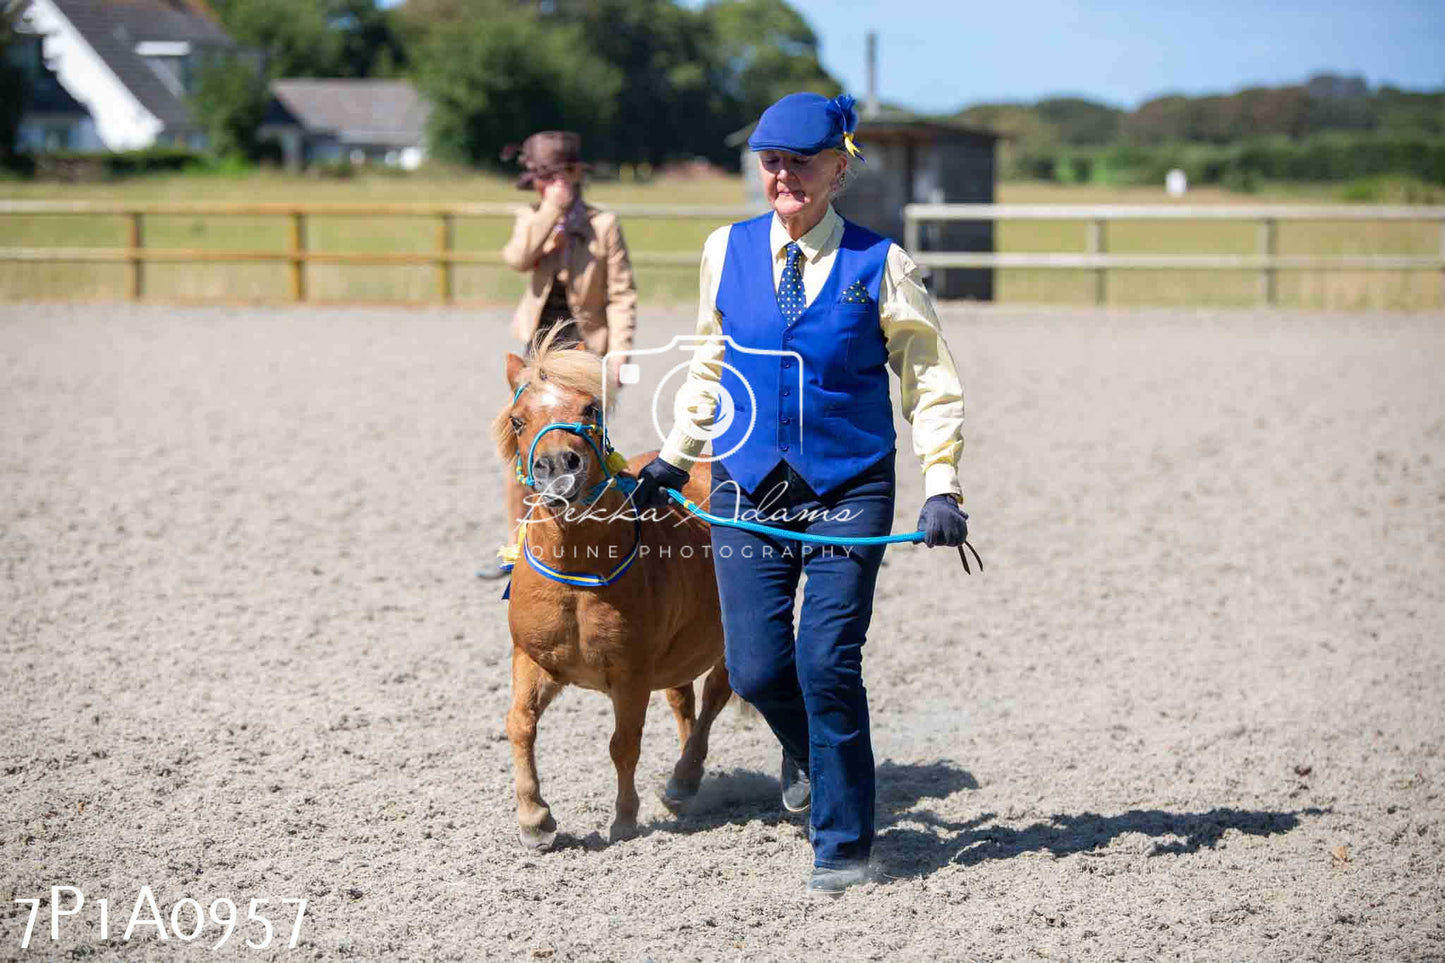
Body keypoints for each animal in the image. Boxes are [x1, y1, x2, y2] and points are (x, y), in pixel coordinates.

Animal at [491, 332, 728, 850]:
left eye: (591, 408)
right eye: (518, 419)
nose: (558, 466)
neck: (578, 570)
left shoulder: (631, 676)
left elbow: (624, 744)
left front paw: (624, 818)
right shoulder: (533, 659)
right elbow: (519, 724)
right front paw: (535, 818)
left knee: (715, 697)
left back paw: (686, 778)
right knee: (684, 703)